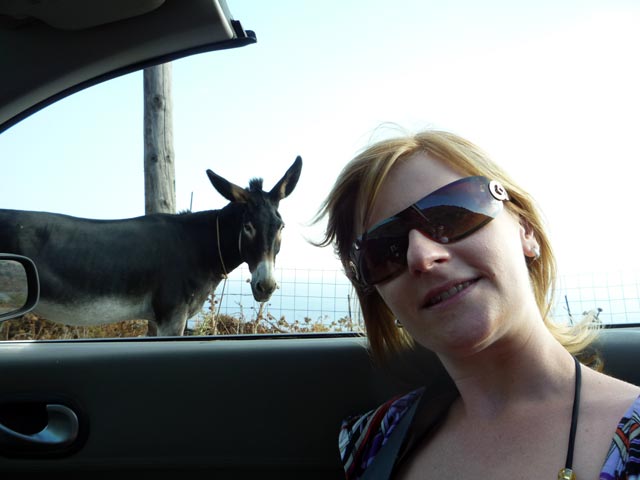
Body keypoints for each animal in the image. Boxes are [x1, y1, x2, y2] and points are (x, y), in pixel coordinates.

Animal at [0, 156, 302, 336]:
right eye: (247, 227)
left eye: (281, 226)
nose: (265, 287)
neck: (198, 248)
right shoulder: (173, 316)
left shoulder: (158, 320)